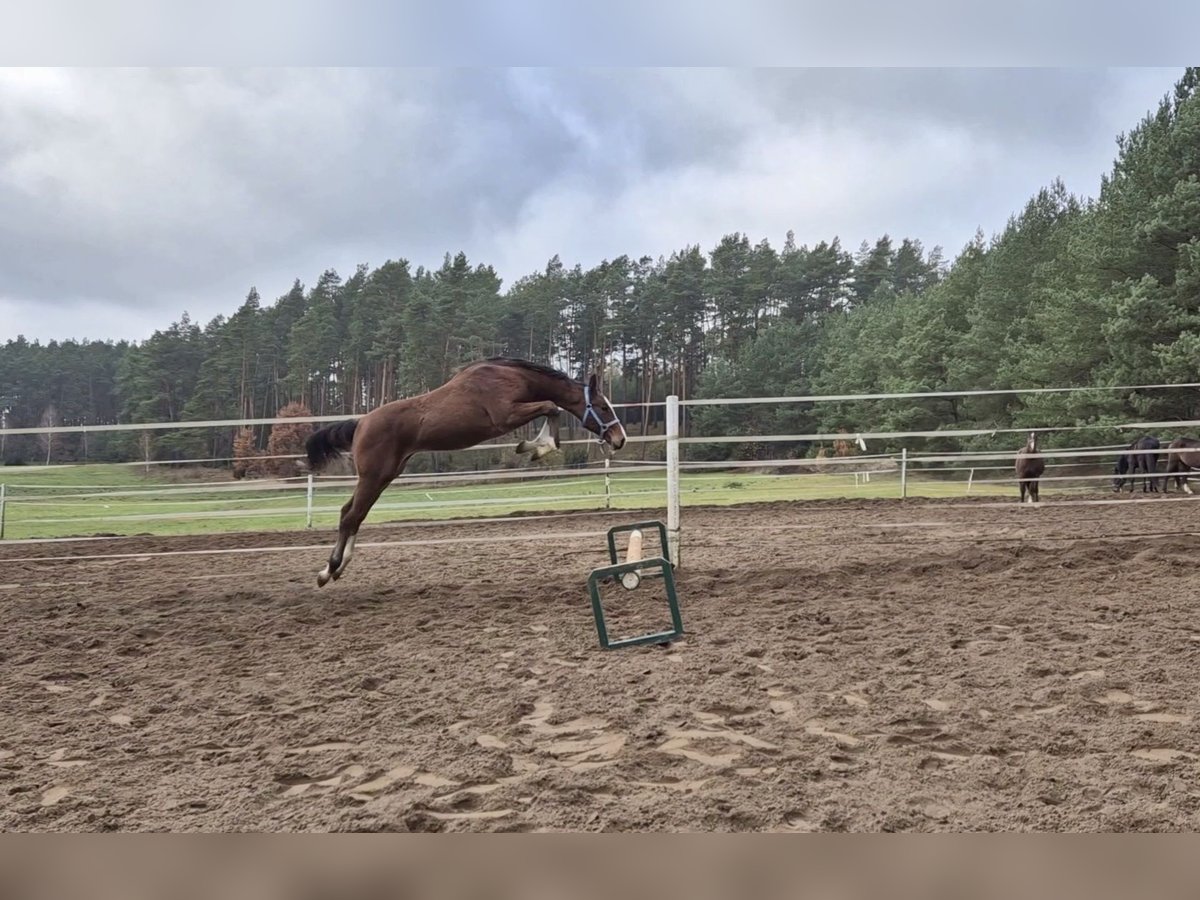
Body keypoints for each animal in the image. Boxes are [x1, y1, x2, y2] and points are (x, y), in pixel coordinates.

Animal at [302, 362, 628, 588]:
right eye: (602, 406)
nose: (619, 438)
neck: (512, 377)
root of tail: (360, 423)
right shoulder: (506, 416)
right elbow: (551, 407)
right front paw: (537, 448)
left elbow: (551, 409)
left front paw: (533, 448)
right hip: (373, 478)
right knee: (350, 517)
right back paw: (328, 571)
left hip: (381, 478)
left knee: (351, 514)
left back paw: (334, 570)